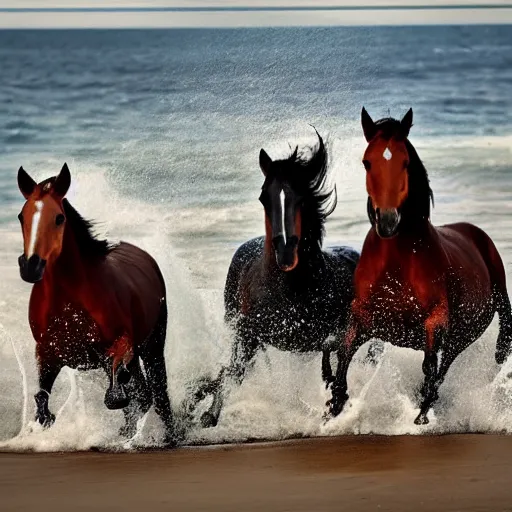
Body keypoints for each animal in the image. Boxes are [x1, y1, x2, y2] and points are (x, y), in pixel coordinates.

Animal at [17, 164, 177, 444]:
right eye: (20, 217)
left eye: (58, 218)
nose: (30, 267)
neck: (69, 305)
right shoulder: (47, 353)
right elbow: (42, 402)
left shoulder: (119, 343)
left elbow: (119, 394)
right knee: (144, 392)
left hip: (153, 344)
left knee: (157, 391)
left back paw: (169, 436)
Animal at [193, 130, 376, 426]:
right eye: (263, 198)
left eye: (301, 197)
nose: (286, 252)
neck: (288, 289)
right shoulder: (247, 335)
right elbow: (231, 375)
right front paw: (206, 412)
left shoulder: (339, 336)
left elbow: (338, 379)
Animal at [328, 107, 512, 424]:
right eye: (366, 162)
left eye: (405, 162)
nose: (388, 221)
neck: (395, 263)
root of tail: (474, 231)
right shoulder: (364, 318)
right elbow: (344, 353)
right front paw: (333, 407)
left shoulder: (435, 319)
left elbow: (428, 363)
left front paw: (421, 416)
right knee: (444, 364)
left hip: (480, 312)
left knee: (453, 357)